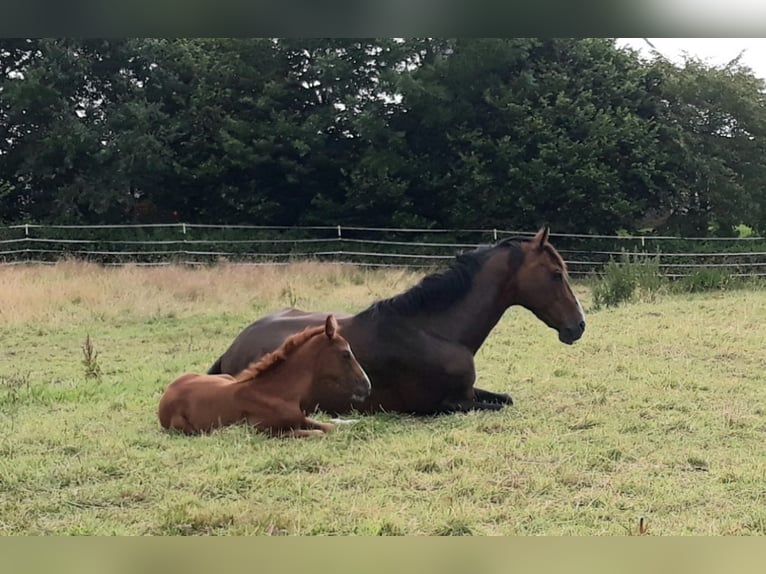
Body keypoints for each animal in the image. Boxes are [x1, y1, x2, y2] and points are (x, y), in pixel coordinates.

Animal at [158, 316, 370, 436]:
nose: (367, 385)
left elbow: (329, 426)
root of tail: (168, 391)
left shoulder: (301, 419)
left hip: (227, 377)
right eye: (345, 354)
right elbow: (319, 433)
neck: (274, 392)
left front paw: (354, 422)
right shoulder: (266, 431)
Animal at [207, 230, 584, 418]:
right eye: (556, 274)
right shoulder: (447, 405)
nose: (578, 326)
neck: (435, 332)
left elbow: (506, 399)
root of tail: (233, 348)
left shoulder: (469, 392)